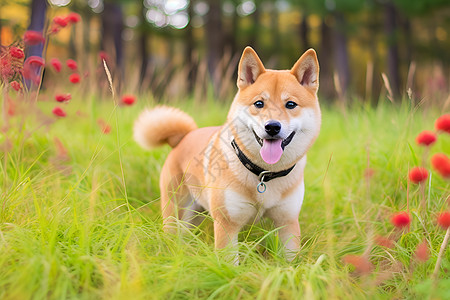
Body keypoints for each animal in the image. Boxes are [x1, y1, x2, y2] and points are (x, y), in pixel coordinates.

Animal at [134, 46, 320, 260]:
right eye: (259, 104)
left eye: (290, 104)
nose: (272, 126)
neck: (264, 174)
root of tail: (183, 137)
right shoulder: (227, 224)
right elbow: (229, 261)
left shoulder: (287, 223)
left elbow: (289, 261)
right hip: (177, 212)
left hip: (194, 216)